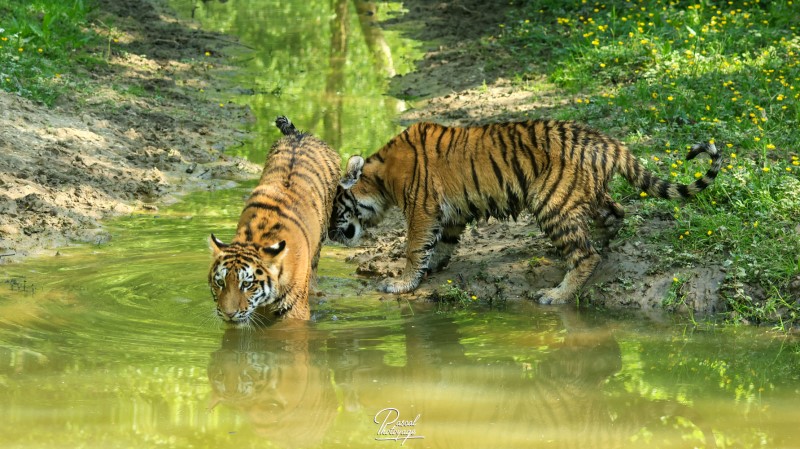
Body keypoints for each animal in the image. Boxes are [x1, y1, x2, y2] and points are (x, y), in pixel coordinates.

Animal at [328, 120, 721, 304]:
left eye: (334, 209)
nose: (329, 234)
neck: (381, 178)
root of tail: (610, 142)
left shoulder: (422, 209)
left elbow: (414, 247)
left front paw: (401, 282)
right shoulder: (449, 213)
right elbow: (440, 244)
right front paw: (431, 267)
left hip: (551, 202)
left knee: (586, 255)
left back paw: (557, 294)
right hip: (588, 195)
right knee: (616, 213)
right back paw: (605, 241)